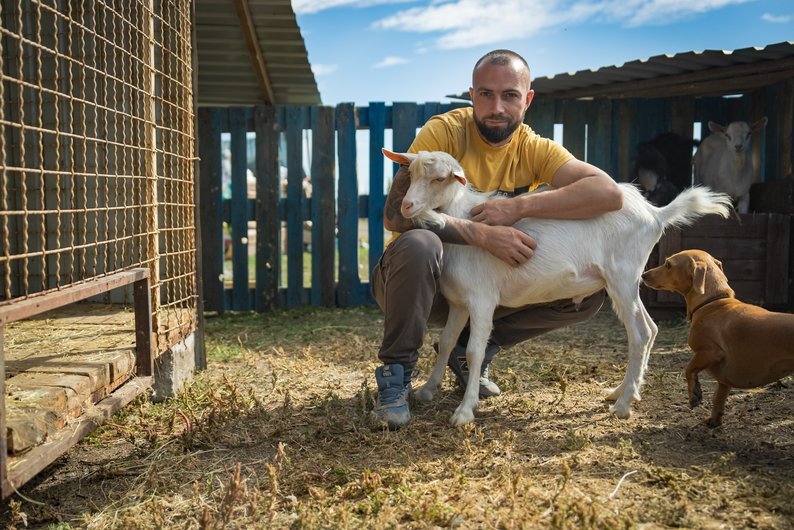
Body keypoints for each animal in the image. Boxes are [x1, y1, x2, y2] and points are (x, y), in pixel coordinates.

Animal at [640, 248, 792, 424]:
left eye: (668, 264)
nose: (643, 275)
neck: (713, 302)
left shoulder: (710, 352)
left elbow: (689, 369)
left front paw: (695, 394)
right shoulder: (723, 381)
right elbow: (718, 397)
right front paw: (713, 420)